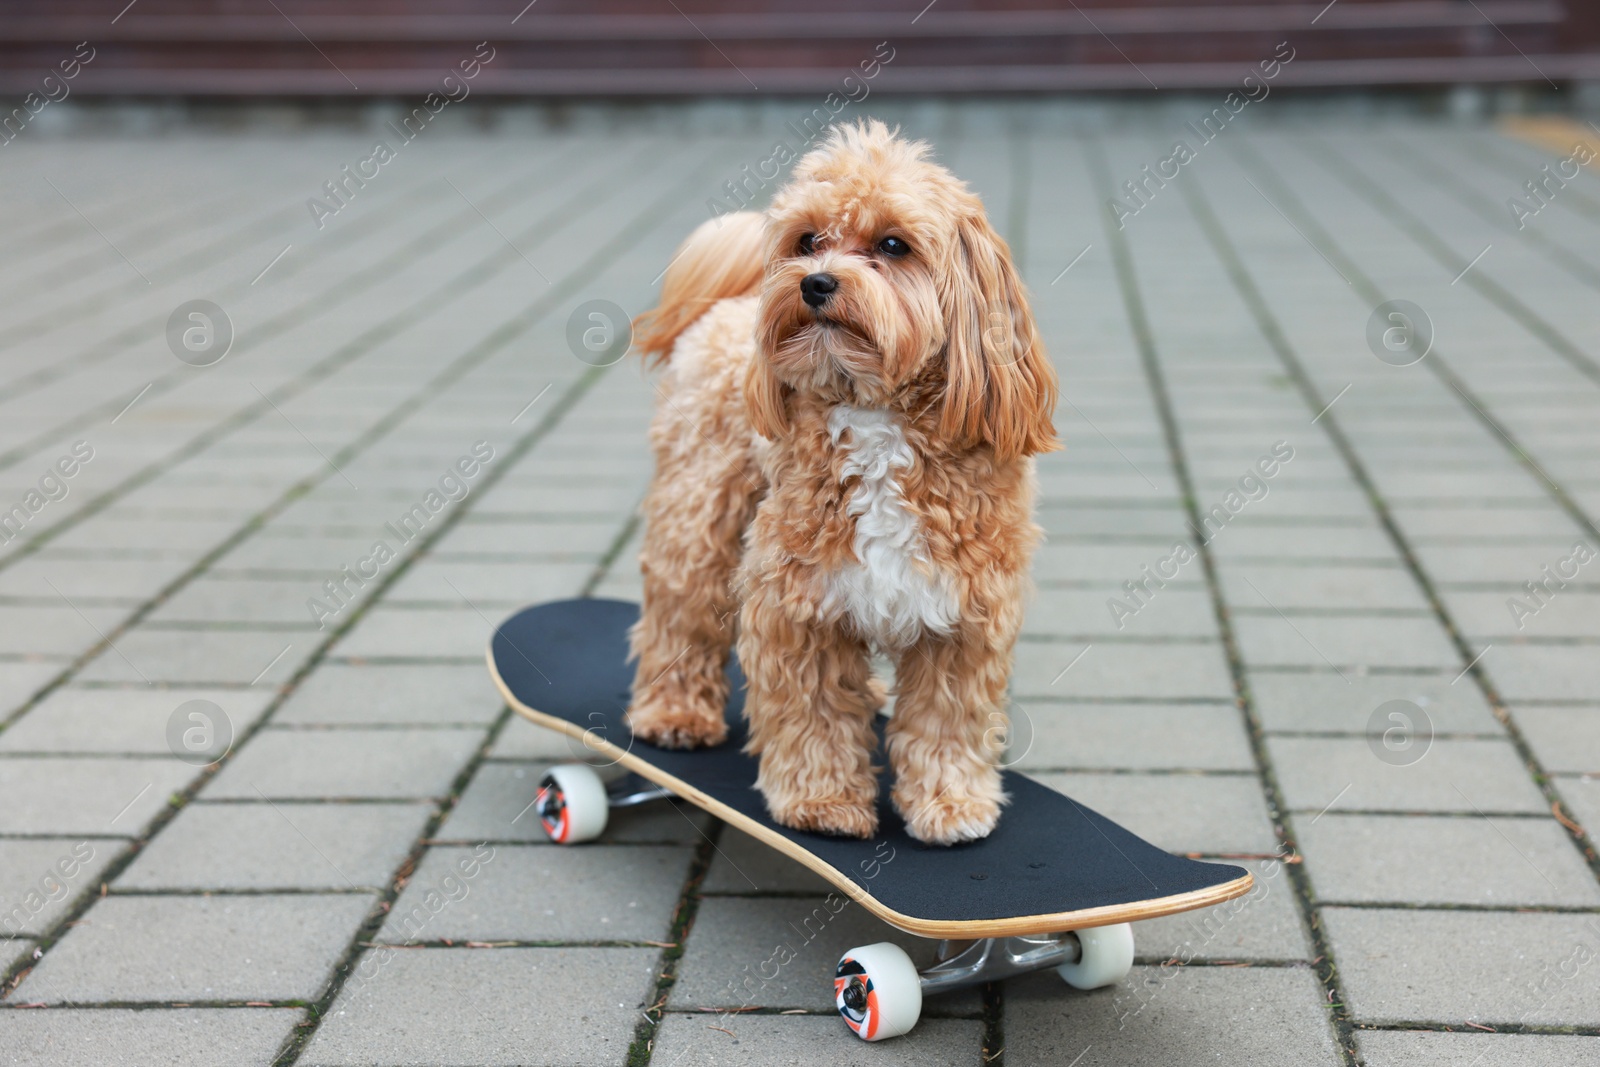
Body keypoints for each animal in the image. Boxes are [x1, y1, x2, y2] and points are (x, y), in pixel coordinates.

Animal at [617, 120, 1056, 844]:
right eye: (806, 241)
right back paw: (674, 712)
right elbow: (812, 712)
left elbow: (947, 720)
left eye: (893, 245)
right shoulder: (798, 605)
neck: (875, 416)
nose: (815, 282)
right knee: (680, 612)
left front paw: (949, 803)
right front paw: (821, 801)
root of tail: (730, 303)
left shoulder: (963, 615)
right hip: (699, 514)